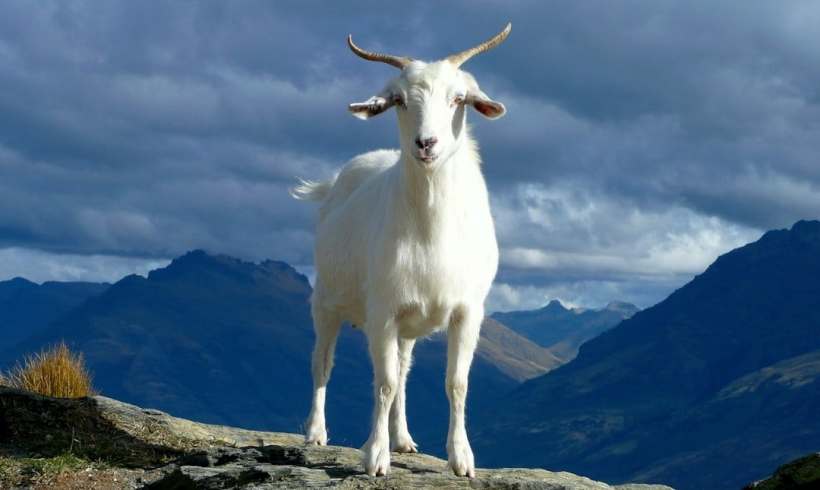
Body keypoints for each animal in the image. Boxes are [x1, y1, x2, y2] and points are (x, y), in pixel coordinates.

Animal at [291, 24, 510, 477]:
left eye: (458, 99)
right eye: (400, 101)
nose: (426, 143)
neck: (431, 230)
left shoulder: (467, 311)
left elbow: (455, 383)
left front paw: (461, 459)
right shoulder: (383, 312)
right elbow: (384, 383)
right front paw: (375, 456)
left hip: (409, 324)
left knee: (405, 372)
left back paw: (404, 439)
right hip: (326, 302)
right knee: (322, 362)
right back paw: (316, 432)